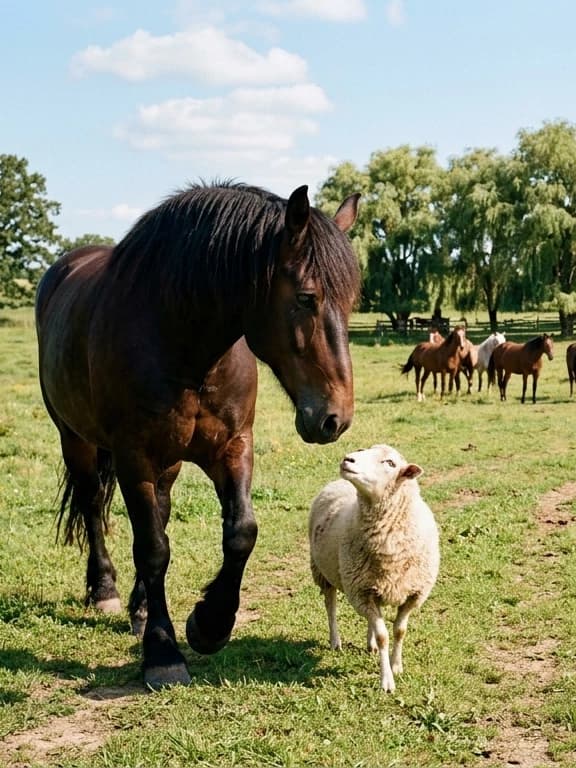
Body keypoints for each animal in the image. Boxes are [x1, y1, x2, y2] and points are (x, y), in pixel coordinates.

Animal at [35, 181, 360, 689]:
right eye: (307, 297)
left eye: (352, 300)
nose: (335, 418)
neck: (183, 344)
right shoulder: (134, 457)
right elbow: (152, 549)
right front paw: (163, 654)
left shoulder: (232, 447)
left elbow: (240, 532)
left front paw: (209, 625)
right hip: (77, 440)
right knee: (92, 507)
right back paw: (105, 590)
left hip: (165, 462)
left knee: (159, 511)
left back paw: (140, 609)